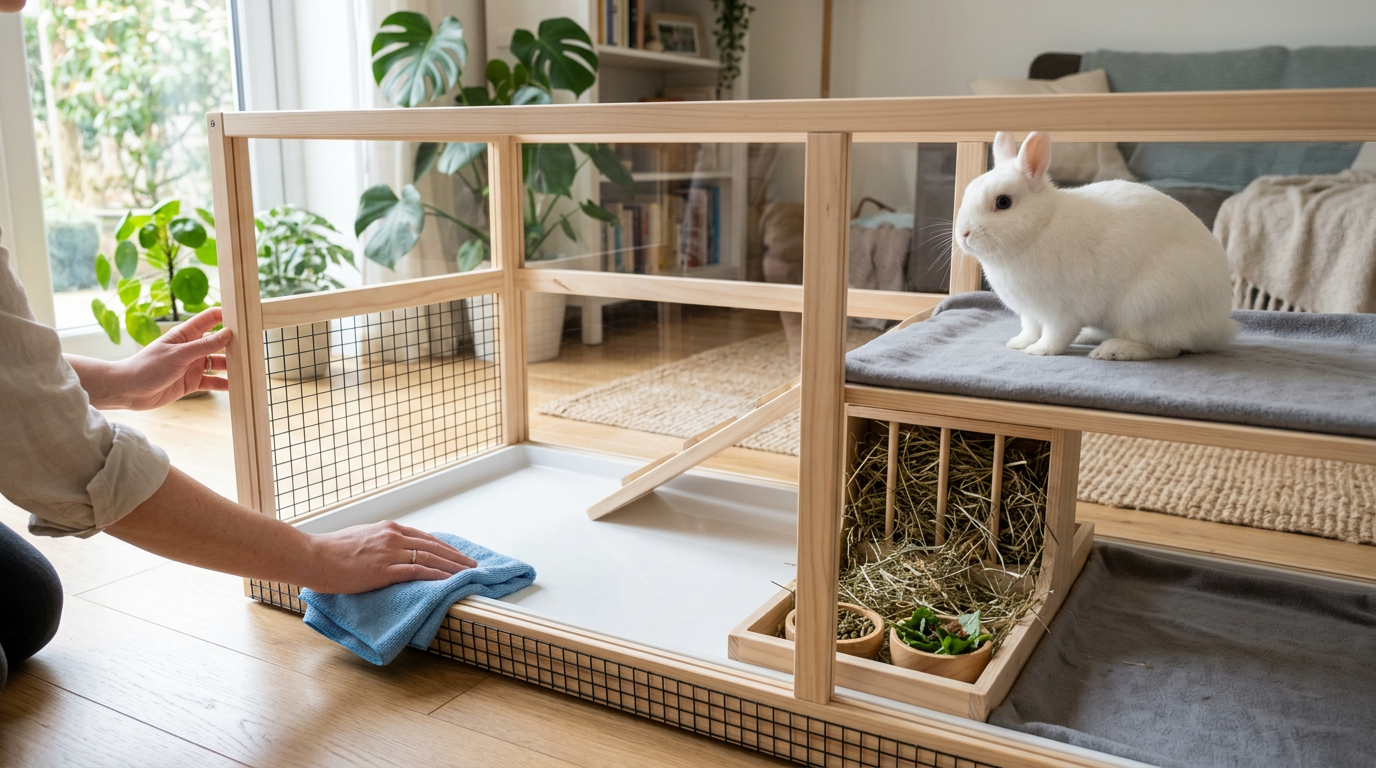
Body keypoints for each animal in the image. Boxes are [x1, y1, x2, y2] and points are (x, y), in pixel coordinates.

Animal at [953, 131, 1239, 360]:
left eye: (1003, 202)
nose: (963, 233)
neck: (1042, 225)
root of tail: (1218, 327)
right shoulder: (1030, 313)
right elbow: (1030, 330)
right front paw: (1017, 343)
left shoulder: (1060, 311)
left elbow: (1055, 336)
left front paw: (1038, 351)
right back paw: (1089, 336)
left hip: (1149, 306)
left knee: (1165, 348)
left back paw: (1112, 350)